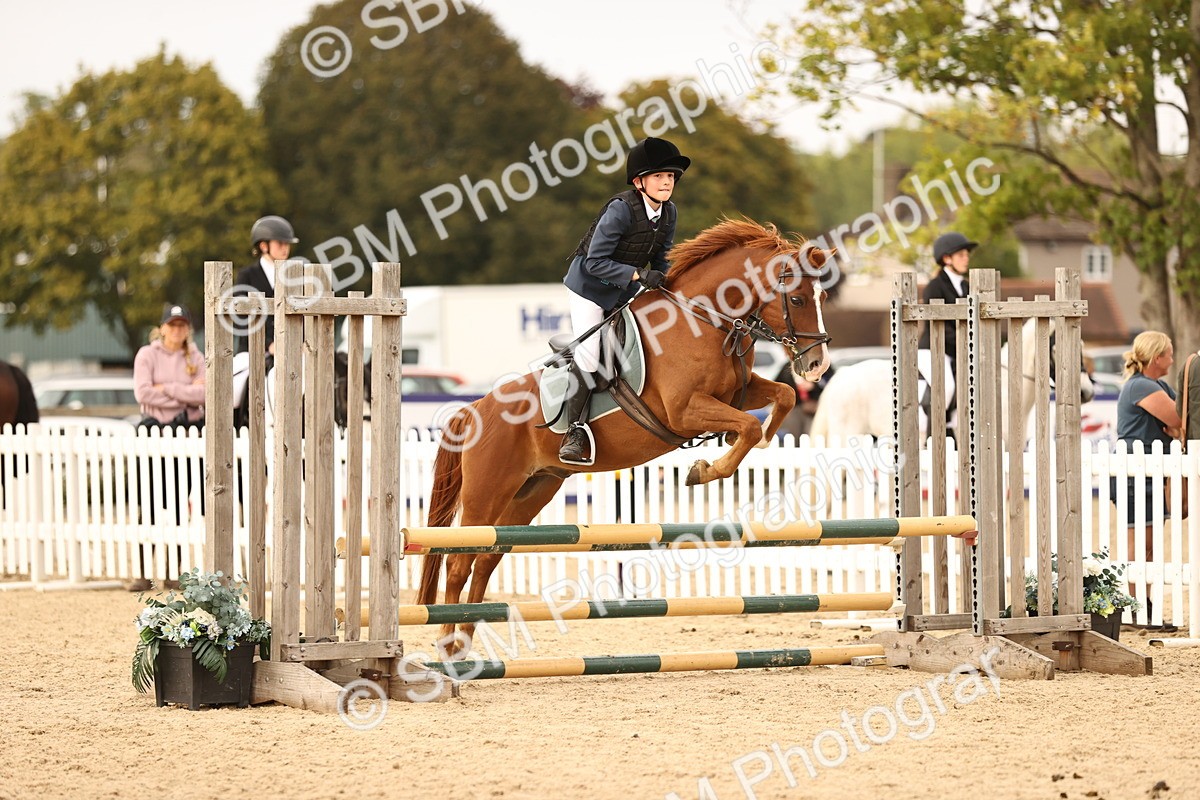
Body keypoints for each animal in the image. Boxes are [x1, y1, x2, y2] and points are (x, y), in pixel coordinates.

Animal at [415, 218, 834, 656]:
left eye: (822, 296)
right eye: (798, 299)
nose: (817, 365)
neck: (701, 321)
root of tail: (475, 411)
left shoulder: (738, 391)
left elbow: (781, 398)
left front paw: (759, 440)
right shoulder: (685, 410)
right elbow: (748, 426)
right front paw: (704, 470)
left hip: (531, 492)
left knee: (485, 558)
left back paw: (464, 639)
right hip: (487, 493)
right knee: (459, 561)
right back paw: (448, 645)